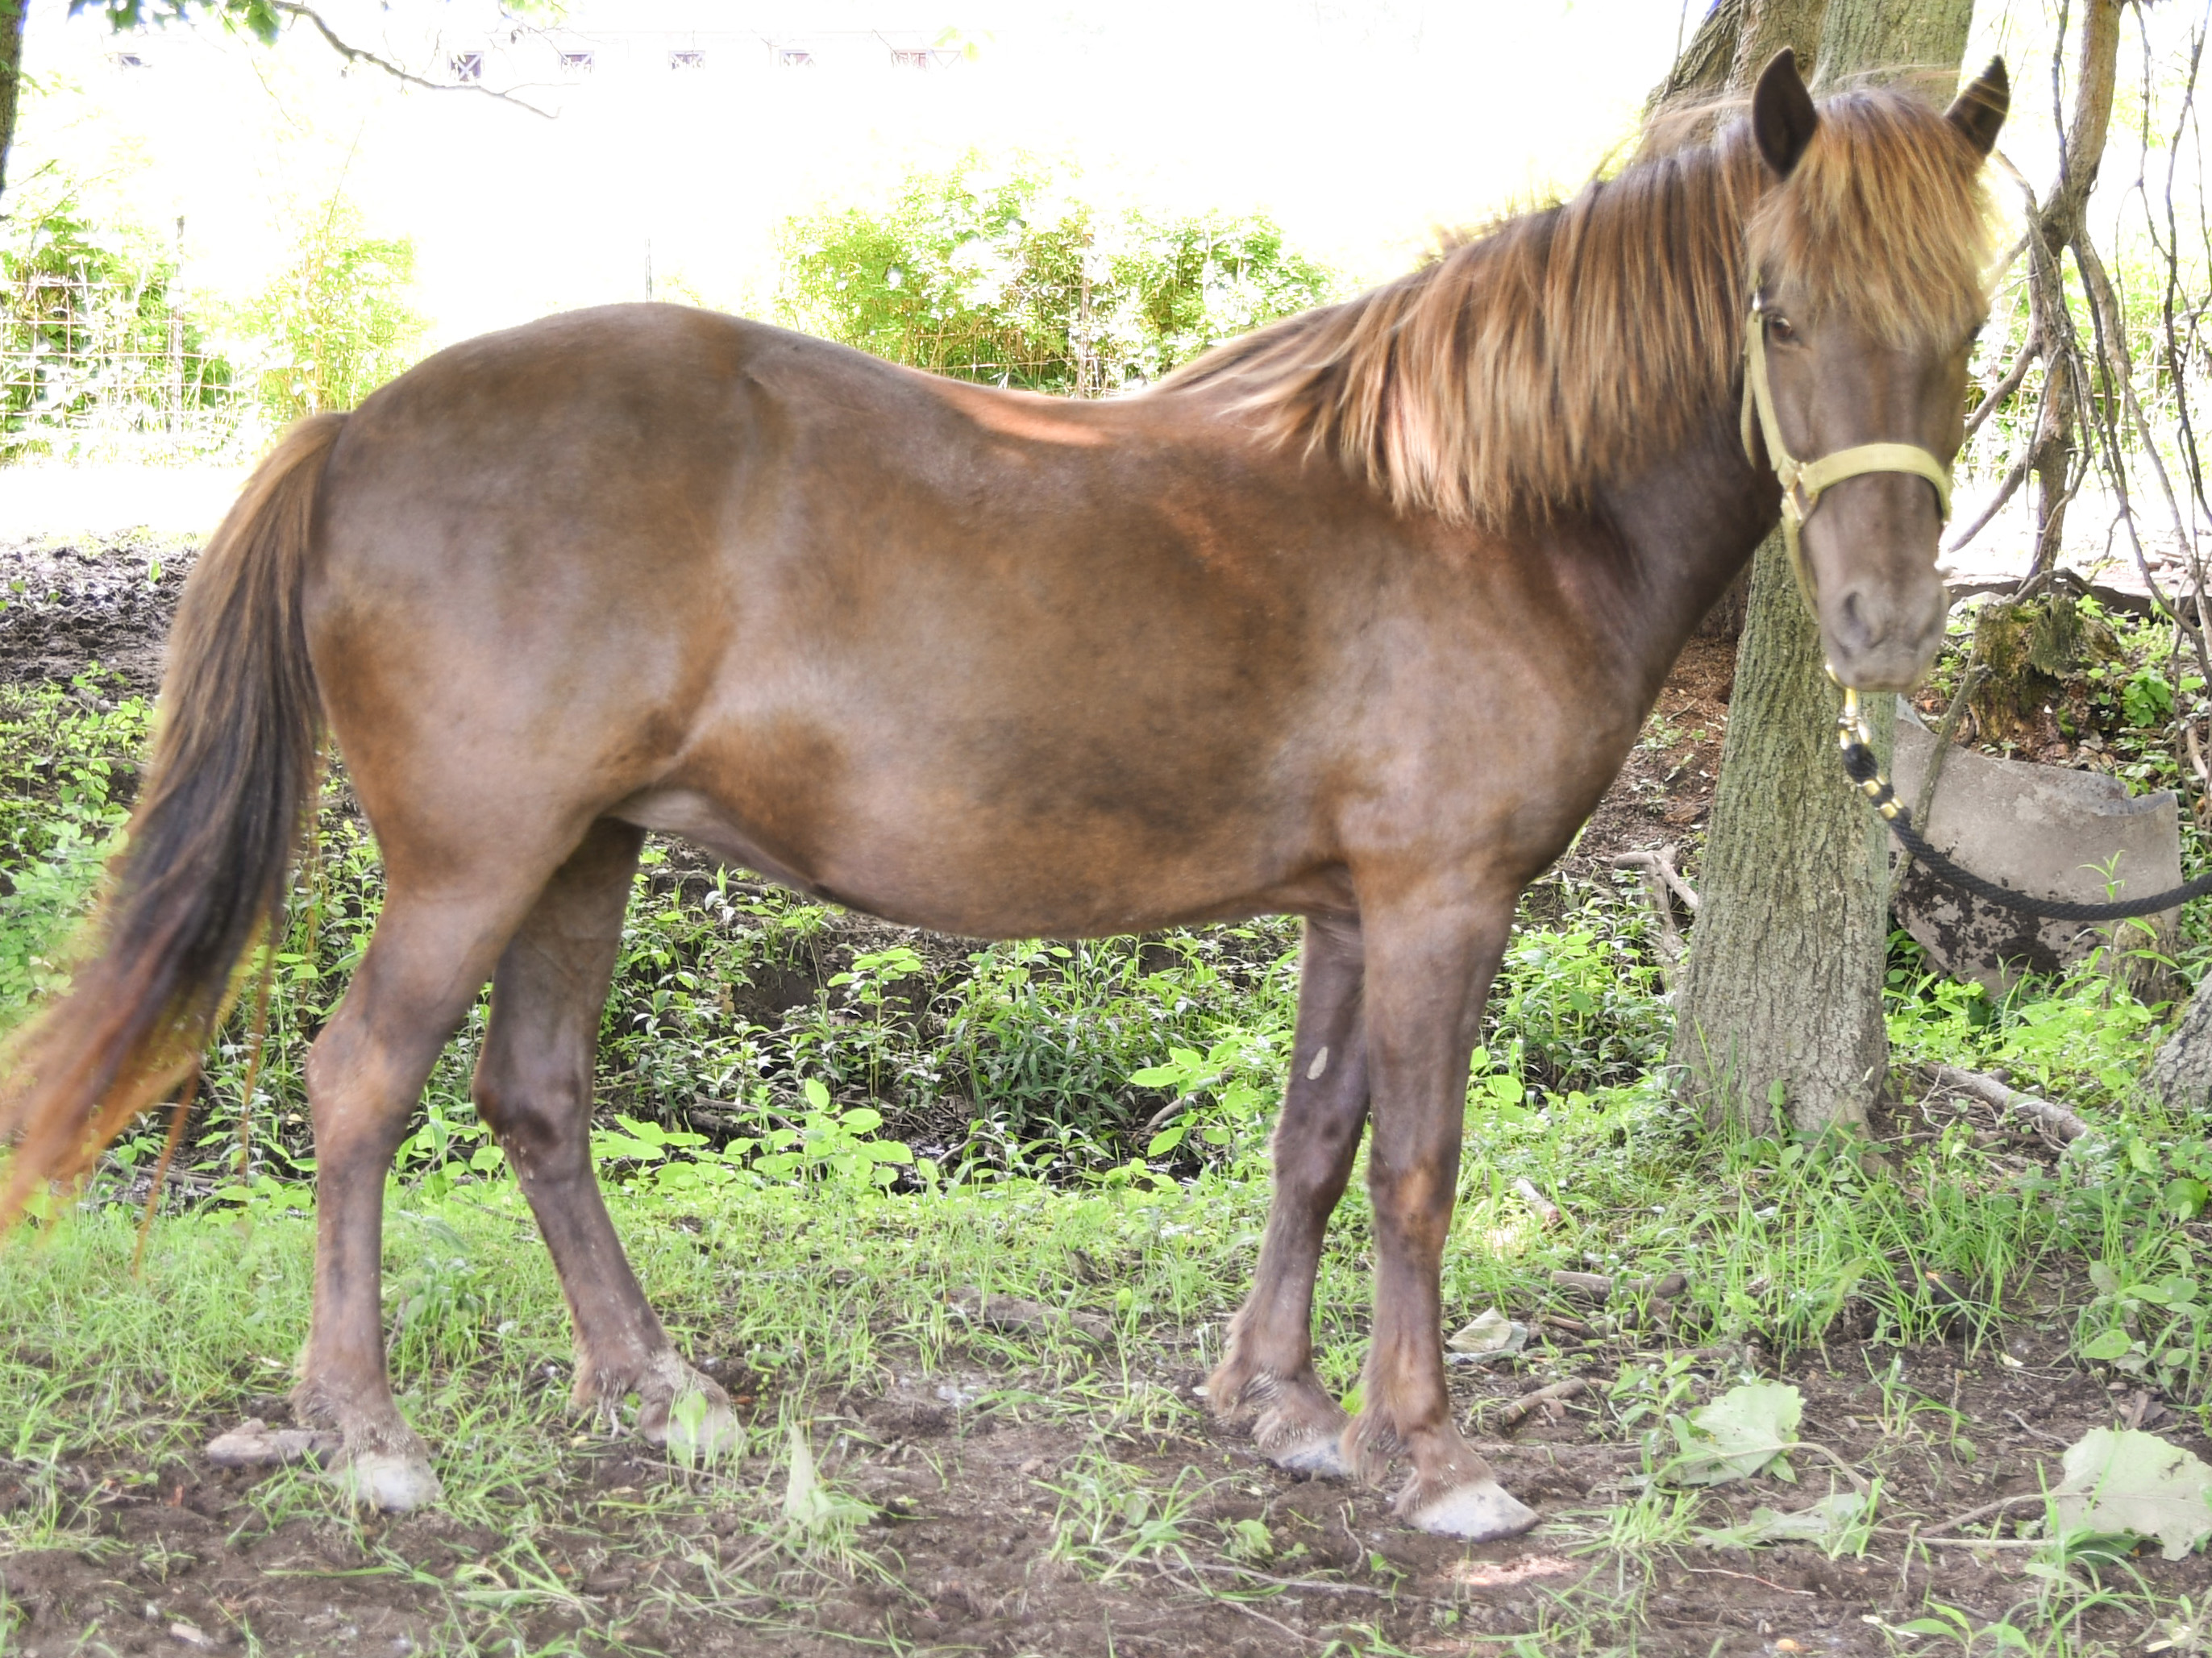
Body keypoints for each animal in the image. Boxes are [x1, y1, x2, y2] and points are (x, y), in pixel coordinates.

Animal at [0, 49, 2006, 1539]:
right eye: (1775, 306)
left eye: (1974, 318)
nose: (1887, 625)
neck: (1473, 507)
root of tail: (358, 431)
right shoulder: (1442, 898)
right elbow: (1420, 1169)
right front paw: (1429, 1453)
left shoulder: (1351, 907)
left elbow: (1311, 1139)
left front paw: (1279, 1405)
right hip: (473, 862)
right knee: (362, 1082)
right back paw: (366, 1427)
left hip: (585, 854)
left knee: (535, 1095)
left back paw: (658, 1388)